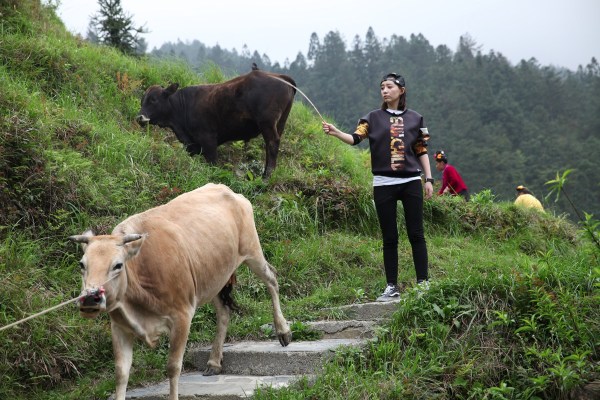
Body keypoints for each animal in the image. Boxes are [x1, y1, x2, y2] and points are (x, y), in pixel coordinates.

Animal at [135, 70, 296, 178]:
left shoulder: (208, 139)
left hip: (267, 123)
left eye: (153, 99)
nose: (139, 117)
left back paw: (266, 177)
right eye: (142, 100)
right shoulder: (192, 144)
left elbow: (212, 162)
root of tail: (280, 76)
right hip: (280, 123)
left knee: (272, 143)